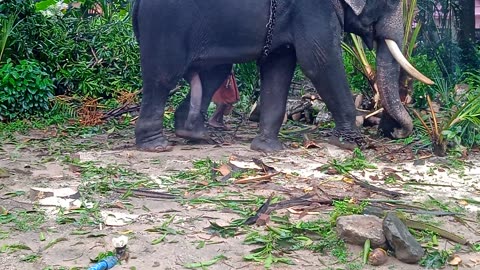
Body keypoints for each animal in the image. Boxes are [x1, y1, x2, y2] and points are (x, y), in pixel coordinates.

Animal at [131, 0, 432, 152]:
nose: (394, 132)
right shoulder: (313, 9)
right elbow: (320, 61)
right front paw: (351, 143)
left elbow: (279, 65)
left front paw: (267, 150)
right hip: (165, 24)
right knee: (163, 77)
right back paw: (156, 145)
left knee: (214, 73)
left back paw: (196, 135)